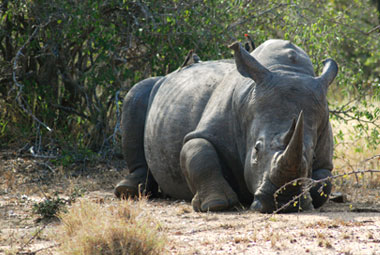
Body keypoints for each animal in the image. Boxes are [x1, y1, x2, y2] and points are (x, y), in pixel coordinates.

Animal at [114, 39, 336, 213]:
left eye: (312, 157)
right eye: (256, 149)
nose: (284, 202)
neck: (287, 70)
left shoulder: (325, 149)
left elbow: (324, 182)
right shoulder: (207, 131)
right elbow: (199, 153)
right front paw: (216, 204)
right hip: (154, 86)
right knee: (136, 93)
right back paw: (127, 190)